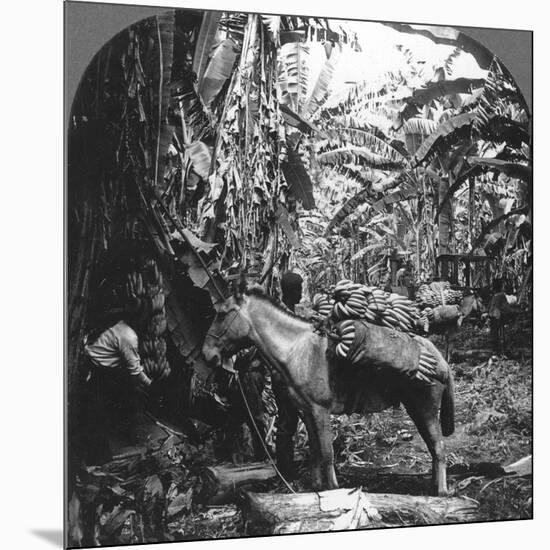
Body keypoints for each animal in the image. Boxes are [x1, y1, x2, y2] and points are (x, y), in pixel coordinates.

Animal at [203, 286, 458, 498]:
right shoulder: (307, 412)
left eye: (222, 314)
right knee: (433, 447)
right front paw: (316, 488)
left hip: (425, 408)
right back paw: (433, 487)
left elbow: (326, 454)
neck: (296, 350)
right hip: (415, 408)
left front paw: (334, 490)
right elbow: (315, 452)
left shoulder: (320, 410)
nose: (207, 355)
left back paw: (442, 493)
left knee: (439, 448)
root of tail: (440, 359)